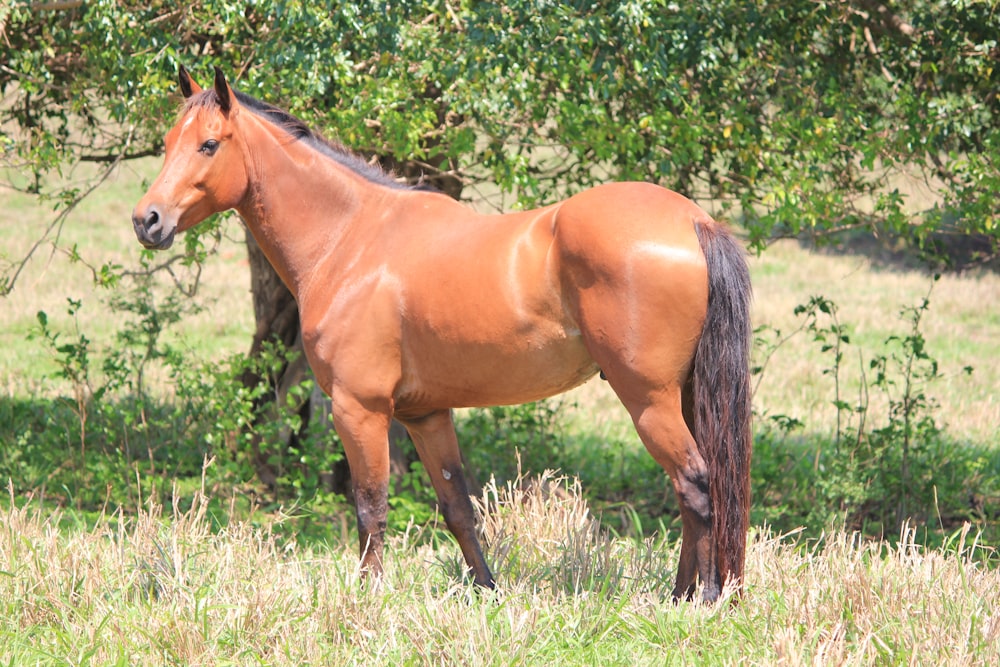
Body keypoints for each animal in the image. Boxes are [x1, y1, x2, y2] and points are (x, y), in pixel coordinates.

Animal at [137, 68, 752, 604]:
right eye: (167, 143)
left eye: (209, 145)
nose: (148, 220)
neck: (350, 238)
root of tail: (695, 222)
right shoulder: (425, 415)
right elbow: (457, 507)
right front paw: (487, 591)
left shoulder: (358, 409)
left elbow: (370, 507)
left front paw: (368, 597)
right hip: (684, 396)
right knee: (696, 487)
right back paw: (681, 595)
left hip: (648, 400)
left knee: (696, 485)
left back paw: (702, 598)